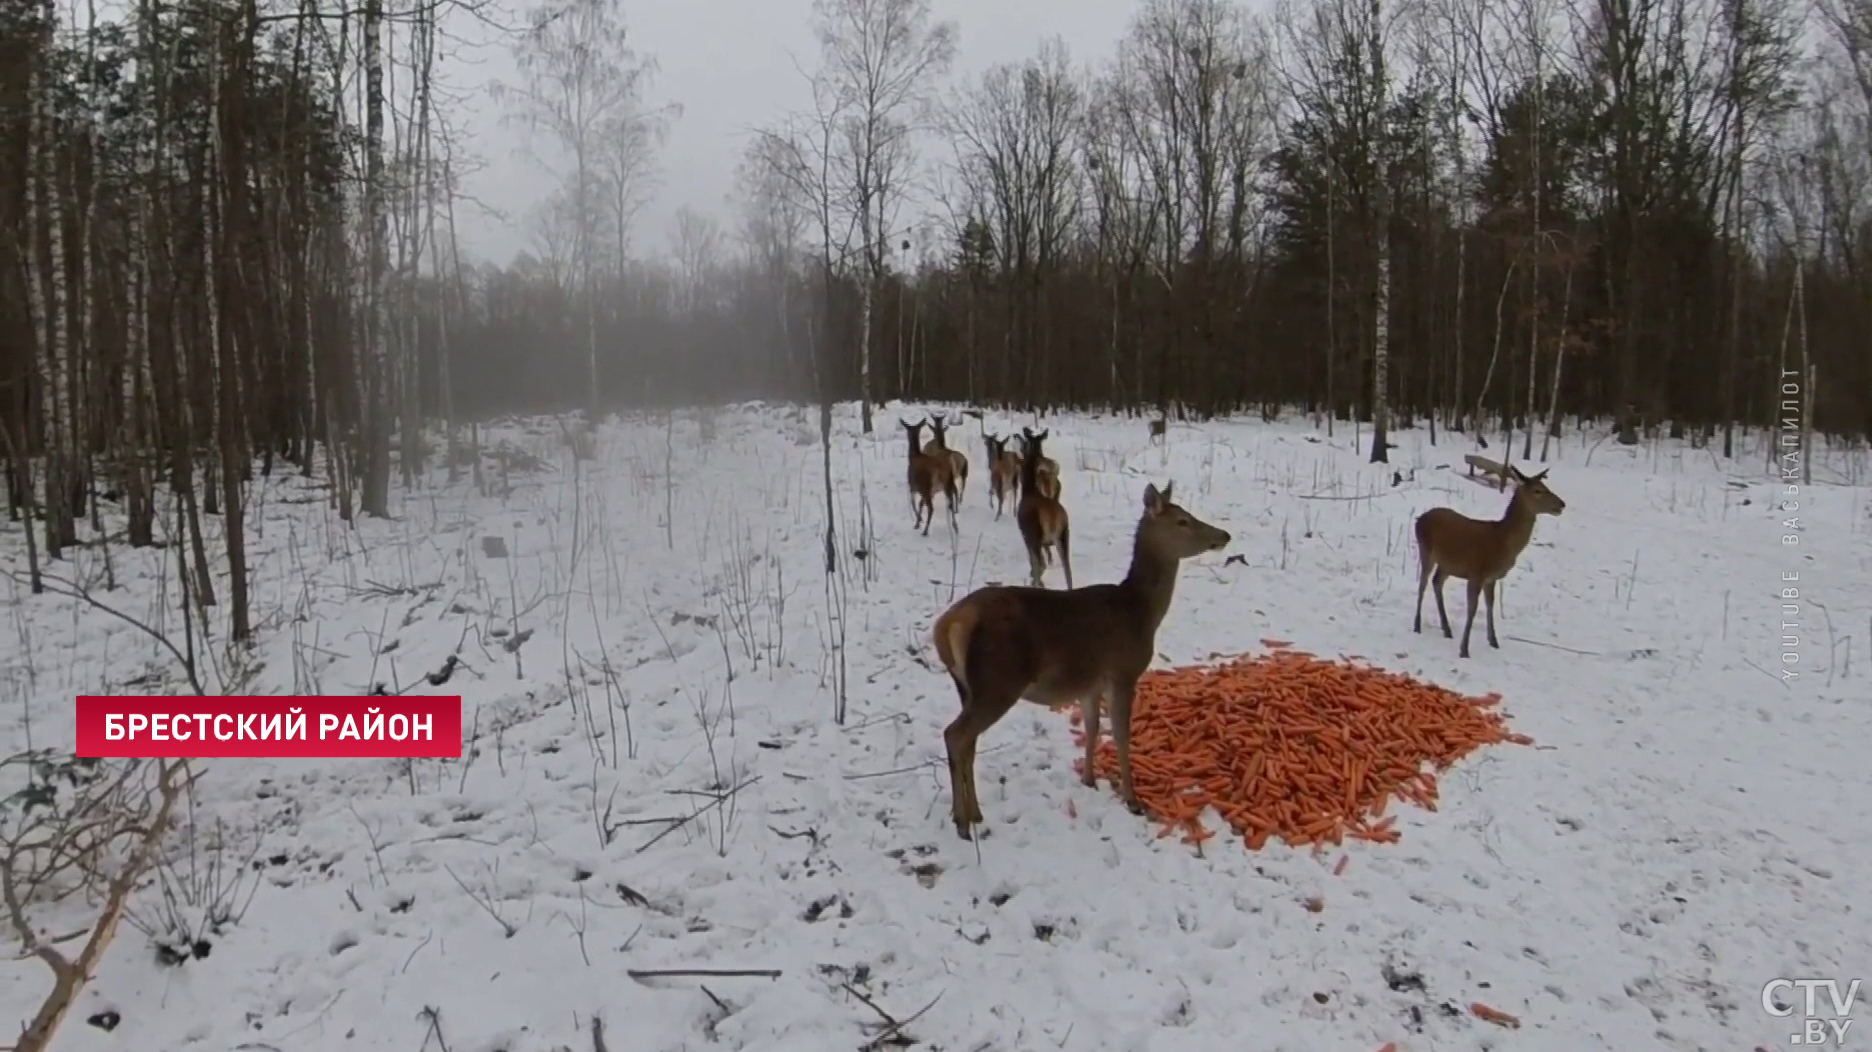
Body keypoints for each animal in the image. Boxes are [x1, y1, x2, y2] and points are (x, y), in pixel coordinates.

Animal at [932, 477, 1228, 834]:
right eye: (1183, 521)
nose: (1224, 536)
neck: (1141, 612)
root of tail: (947, 626)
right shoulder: (1123, 671)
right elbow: (1121, 735)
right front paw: (1132, 800)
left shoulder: (1091, 683)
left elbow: (1092, 729)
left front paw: (1088, 779)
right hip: (998, 680)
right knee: (955, 735)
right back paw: (963, 821)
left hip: (967, 686)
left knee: (968, 742)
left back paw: (971, 813)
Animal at [1018, 428, 1078, 591]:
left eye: (1024, 446)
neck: (1028, 490)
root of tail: (1055, 517)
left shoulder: (1026, 533)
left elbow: (1035, 563)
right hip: (1063, 535)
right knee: (1068, 571)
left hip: (1035, 533)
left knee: (1041, 564)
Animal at [1407, 460, 1572, 655]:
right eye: (1537, 490)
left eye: (1546, 486)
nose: (1562, 504)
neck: (1502, 542)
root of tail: (1419, 519)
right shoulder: (1476, 572)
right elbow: (1472, 608)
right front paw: (1464, 649)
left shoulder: (1491, 578)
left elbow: (1490, 605)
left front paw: (1493, 641)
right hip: (1425, 550)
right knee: (1423, 584)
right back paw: (1417, 626)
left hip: (1446, 563)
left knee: (1436, 581)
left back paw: (1446, 629)